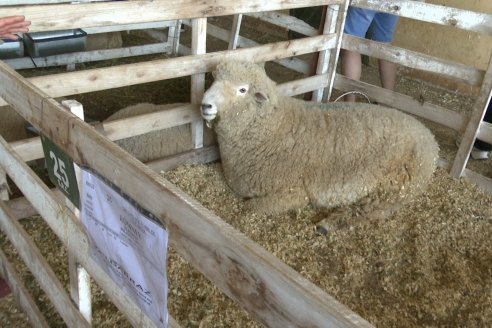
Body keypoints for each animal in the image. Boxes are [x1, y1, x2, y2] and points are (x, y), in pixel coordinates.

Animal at [200, 60, 438, 227]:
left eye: (242, 89)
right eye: (214, 80)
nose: (205, 105)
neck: (273, 128)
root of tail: (430, 138)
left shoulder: (294, 192)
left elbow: (250, 207)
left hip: (397, 186)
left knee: (374, 210)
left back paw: (330, 224)